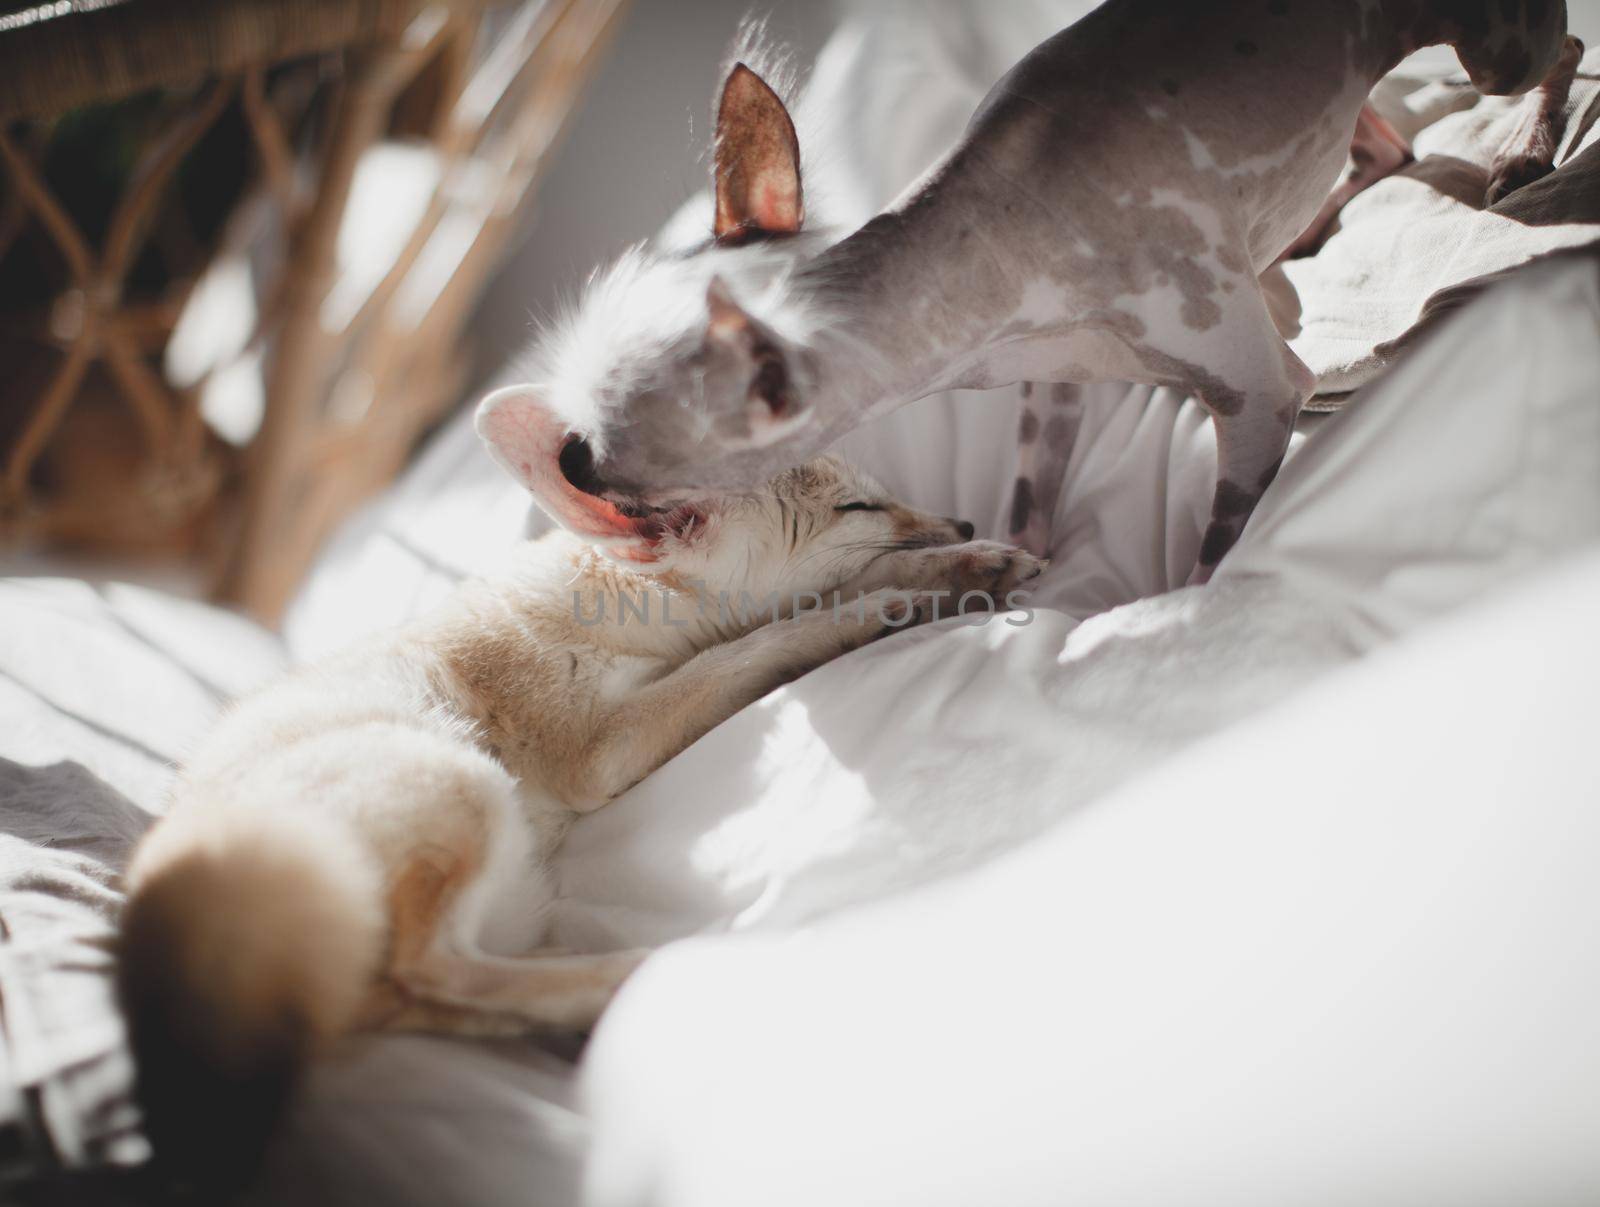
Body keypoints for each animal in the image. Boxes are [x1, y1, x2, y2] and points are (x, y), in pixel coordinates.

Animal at [116, 451, 1036, 1178]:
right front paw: (884, 607)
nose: (964, 515)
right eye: (858, 506)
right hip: (461, 784)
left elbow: (808, 604)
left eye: (881, 495)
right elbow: (767, 640)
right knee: (435, 967)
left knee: (414, 995)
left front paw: (967, 564)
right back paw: (627, 972)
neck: (623, 597)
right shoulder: (600, 744)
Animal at [476, 0, 1574, 582]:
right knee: (1386, 144)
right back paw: (1307, 225)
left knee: (1556, 51)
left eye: (601, 455)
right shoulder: (1053, 390)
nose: (564, 464)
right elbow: (1028, 508)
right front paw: (1020, 566)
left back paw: (1526, 148)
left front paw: (1172, 602)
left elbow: (1217, 549)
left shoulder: (1264, 398)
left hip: (1490, 45)